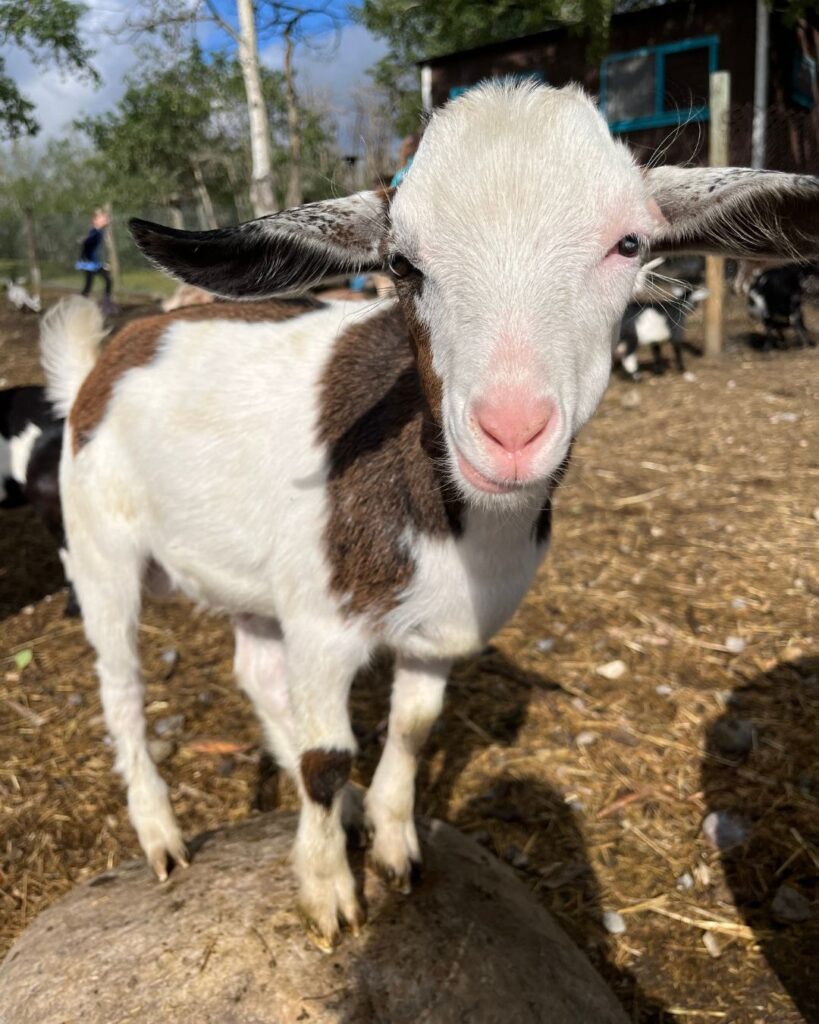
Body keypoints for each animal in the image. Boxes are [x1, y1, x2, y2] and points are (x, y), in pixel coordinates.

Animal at [42, 82, 819, 951]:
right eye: (401, 264)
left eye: (628, 244)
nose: (509, 431)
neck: (451, 522)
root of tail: (102, 357)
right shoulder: (323, 623)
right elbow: (325, 757)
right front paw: (327, 892)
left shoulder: (436, 630)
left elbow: (412, 729)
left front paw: (394, 847)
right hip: (100, 549)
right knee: (123, 684)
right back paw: (161, 836)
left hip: (252, 579)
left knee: (255, 672)